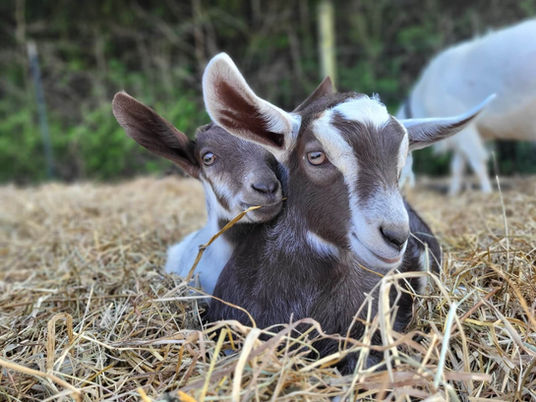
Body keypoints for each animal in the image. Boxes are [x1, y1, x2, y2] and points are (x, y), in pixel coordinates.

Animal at [399, 19, 536, 194]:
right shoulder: (458, 136)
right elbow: (457, 166)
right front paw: (453, 193)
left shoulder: (465, 130)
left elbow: (478, 162)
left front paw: (487, 192)